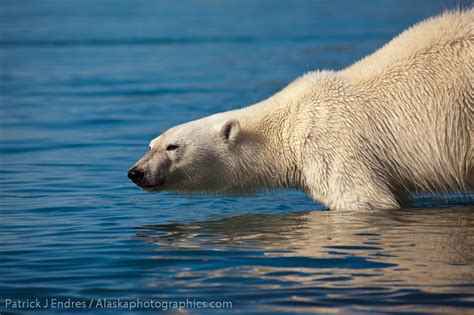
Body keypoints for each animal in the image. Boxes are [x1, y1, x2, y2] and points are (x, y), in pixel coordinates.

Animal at [128, 9, 472, 211]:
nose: (136, 172)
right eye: (151, 144)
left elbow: (363, 199)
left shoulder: (330, 144)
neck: (286, 124)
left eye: (173, 146)